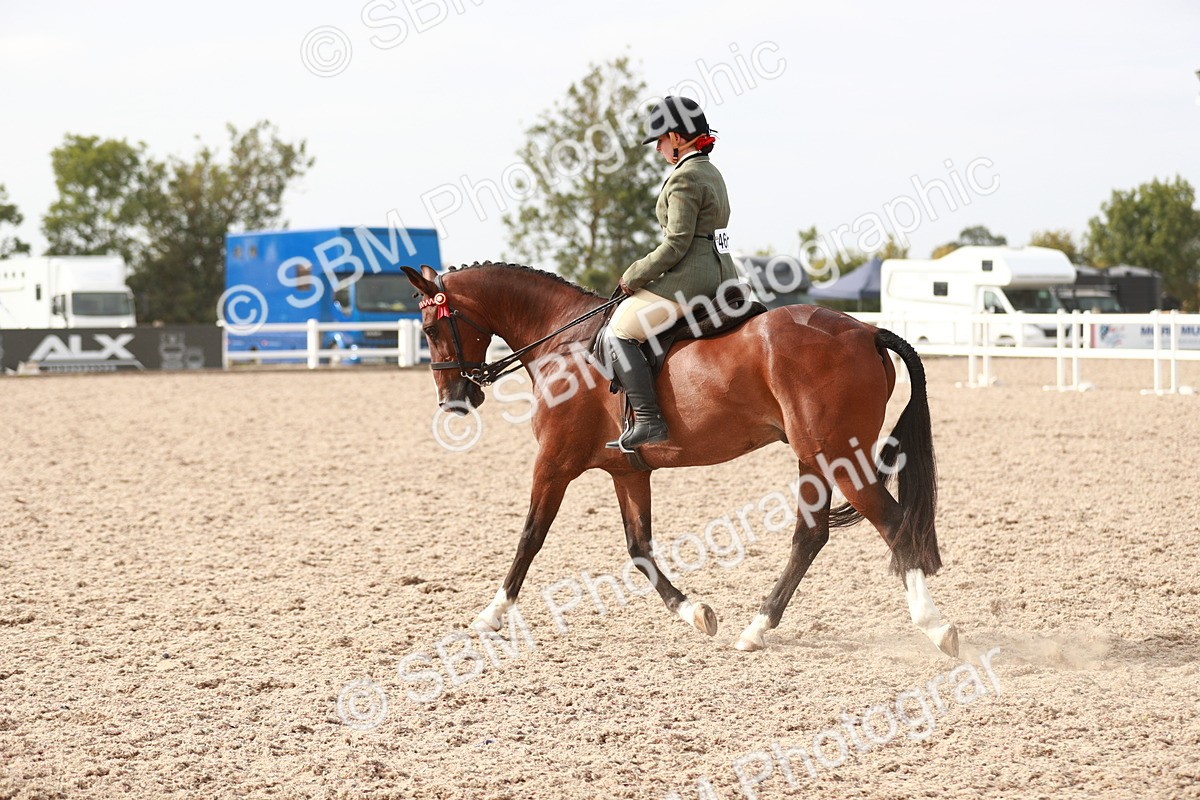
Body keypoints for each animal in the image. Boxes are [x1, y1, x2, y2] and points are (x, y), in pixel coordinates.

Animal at [402, 262, 958, 656]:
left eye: (429, 329)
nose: (453, 401)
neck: (564, 341)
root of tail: (867, 331)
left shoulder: (554, 462)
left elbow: (530, 537)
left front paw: (490, 615)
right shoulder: (626, 471)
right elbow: (639, 548)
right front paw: (694, 612)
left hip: (841, 457)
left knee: (892, 523)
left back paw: (936, 627)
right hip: (815, 459)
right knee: (810, 537)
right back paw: (756, 628)